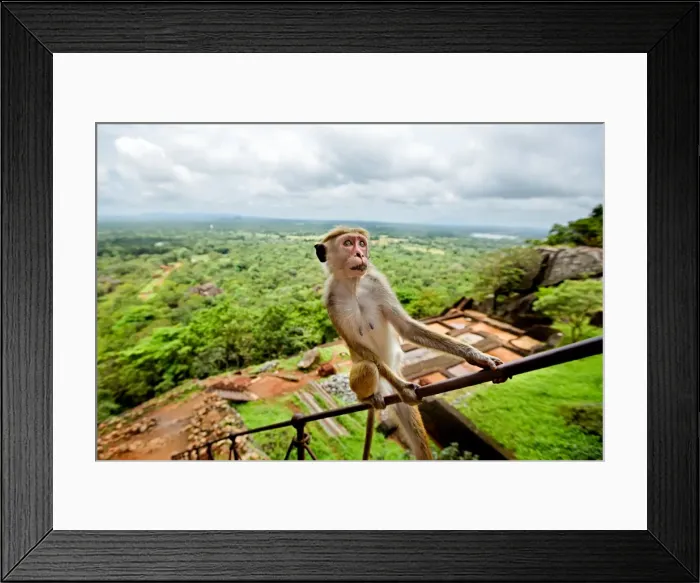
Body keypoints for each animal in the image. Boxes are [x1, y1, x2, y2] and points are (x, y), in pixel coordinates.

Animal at [314, 226, 507, 460]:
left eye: (361, 243)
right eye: (348, 243)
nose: (360, 254)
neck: (353, 284)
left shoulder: (377, 283)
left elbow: (406, 327)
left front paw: (476, 356)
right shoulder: (330, 300)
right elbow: (357, 345)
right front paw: (404, 387)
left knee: (419, 443)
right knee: (367, 367)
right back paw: (368, 397)